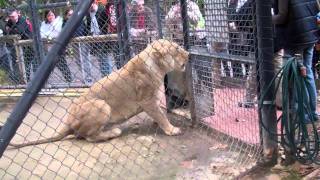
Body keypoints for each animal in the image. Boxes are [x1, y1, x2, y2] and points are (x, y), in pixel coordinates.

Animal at [10, 38, 189, 148]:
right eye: (177, 48)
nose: (188, 53)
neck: (157, 67)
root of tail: (68, 120)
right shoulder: (146, 100)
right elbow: (161, 115)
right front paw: (172, 129)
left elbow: (160, 112)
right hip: (101, 105)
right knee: (89, 137)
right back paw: (113, 132)